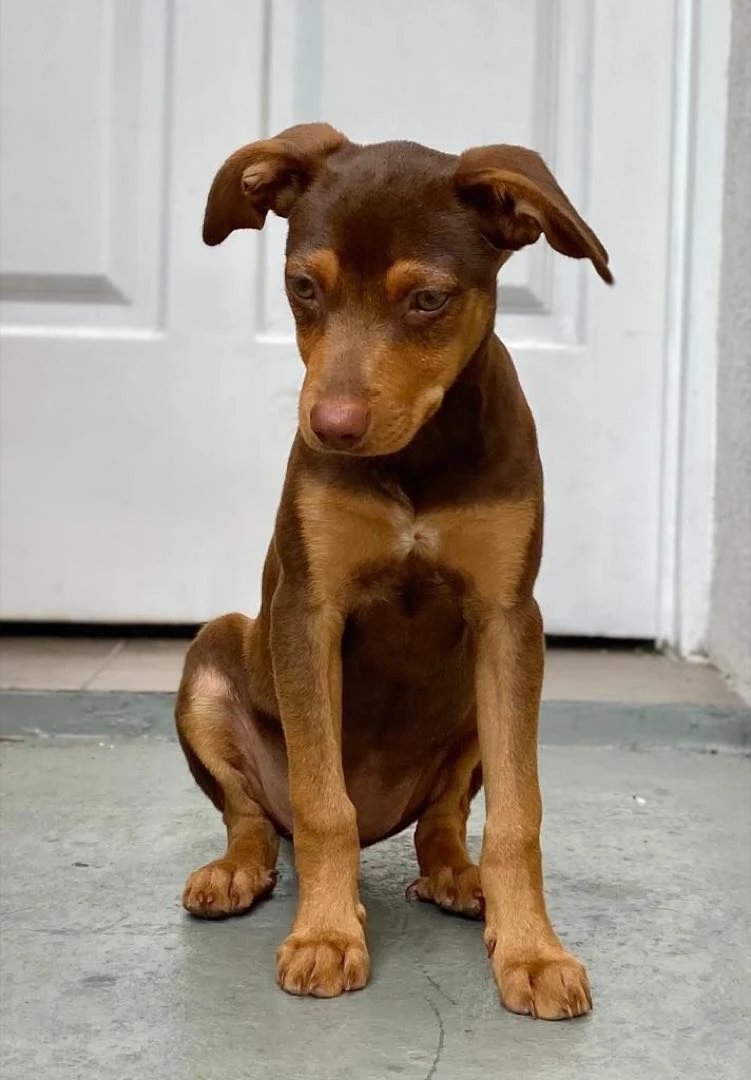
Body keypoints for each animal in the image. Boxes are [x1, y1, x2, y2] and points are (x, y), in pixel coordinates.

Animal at [176, 123, 611, 1019]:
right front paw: (325, 935)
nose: (331, 428)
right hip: (212, 658)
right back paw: (238, 873)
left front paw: (533, 950)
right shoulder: (309, 611)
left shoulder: (508, 619)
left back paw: (459, 877)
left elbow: (517, 814)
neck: (419, 456)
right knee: (253, 815)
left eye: (429, 301)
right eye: (303, 286)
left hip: (476, 700)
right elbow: (322, 807)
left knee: (441, 818)